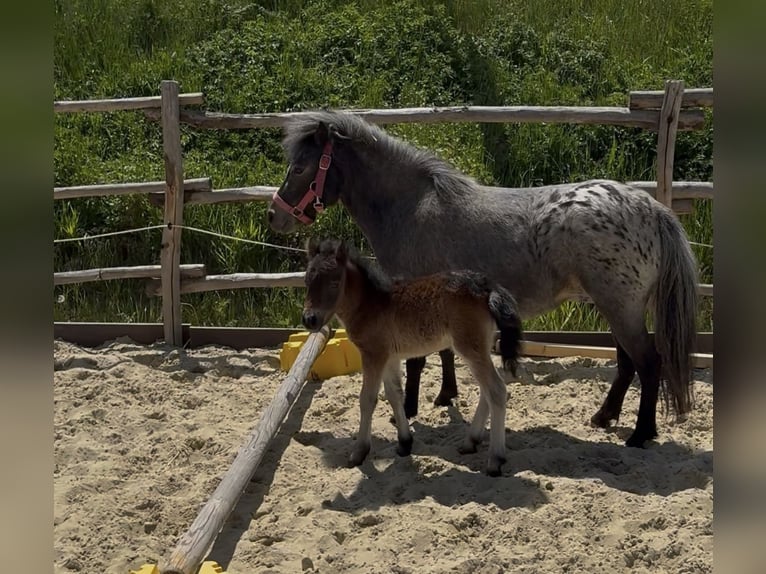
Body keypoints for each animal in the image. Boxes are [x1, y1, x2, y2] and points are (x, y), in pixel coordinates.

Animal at [267, 110, 698, 448]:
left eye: (301, 168)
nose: (275, 216)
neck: (412, 205)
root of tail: (651, 207)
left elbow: (417, 360)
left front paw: (408, 408)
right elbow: (442, 352)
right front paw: (446, 396)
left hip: (621, 307)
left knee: (648, 362)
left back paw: (641, 434)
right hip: (616, 307)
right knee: (627, 364)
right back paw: (604, 417)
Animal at [301, 237, 523, 476]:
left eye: (335, 282)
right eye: (306, 281)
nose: (309, 320)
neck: (370, 303)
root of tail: (487, 286)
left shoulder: (373, 355)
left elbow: (367, 399)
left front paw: (359, 452)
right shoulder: (389, 357)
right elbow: (394, 394)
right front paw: (404, 443)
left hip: (469, 347)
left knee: (496, 390)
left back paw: (495, 459)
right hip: (479, 347)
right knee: (486, 391)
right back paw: (470, 442)